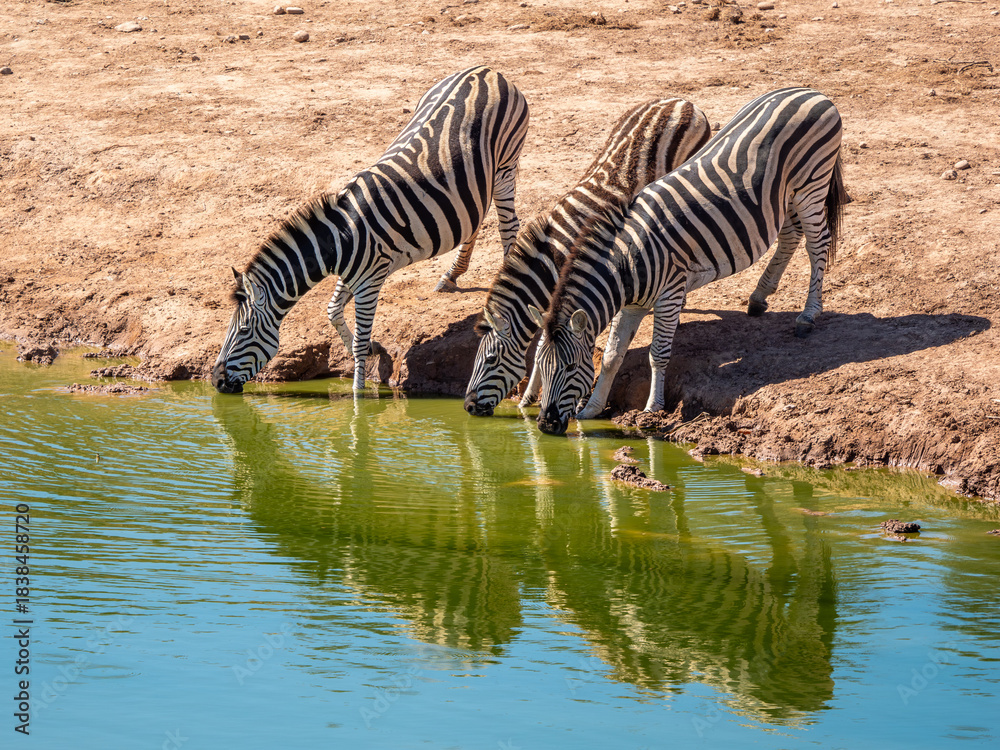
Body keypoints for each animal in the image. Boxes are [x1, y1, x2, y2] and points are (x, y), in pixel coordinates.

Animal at [211, 66, 529, 394]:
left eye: (243, 330)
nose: (216, 381)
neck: (341, 238)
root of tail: (486, 70)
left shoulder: (369, 282)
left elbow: (358, 341)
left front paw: (359, 394)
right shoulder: (354, 276)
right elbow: (332, 310)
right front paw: (369, 349)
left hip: (506, 165)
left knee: (508, 226)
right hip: (476, 181)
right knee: (475, 220)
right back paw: (451, 275)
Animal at [463, 98, 711, 417]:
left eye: (491, 359)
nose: (468, 407)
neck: (555, 258)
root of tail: (681, 101)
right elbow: (547, 342)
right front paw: (529, 398)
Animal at [533, 87, 849, 435]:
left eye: (570, 366)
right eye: (540, 366)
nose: (545, 425)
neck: (625, 265)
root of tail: (811, 92)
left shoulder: (670, 292)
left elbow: (657, 354)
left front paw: (652, 409)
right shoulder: (632, 304)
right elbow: (612, 355)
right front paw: (591, 408)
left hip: (812, 183)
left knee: (817, 244)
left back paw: (808, 315)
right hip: (785, 193)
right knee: (791, 235)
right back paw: (758, 297)